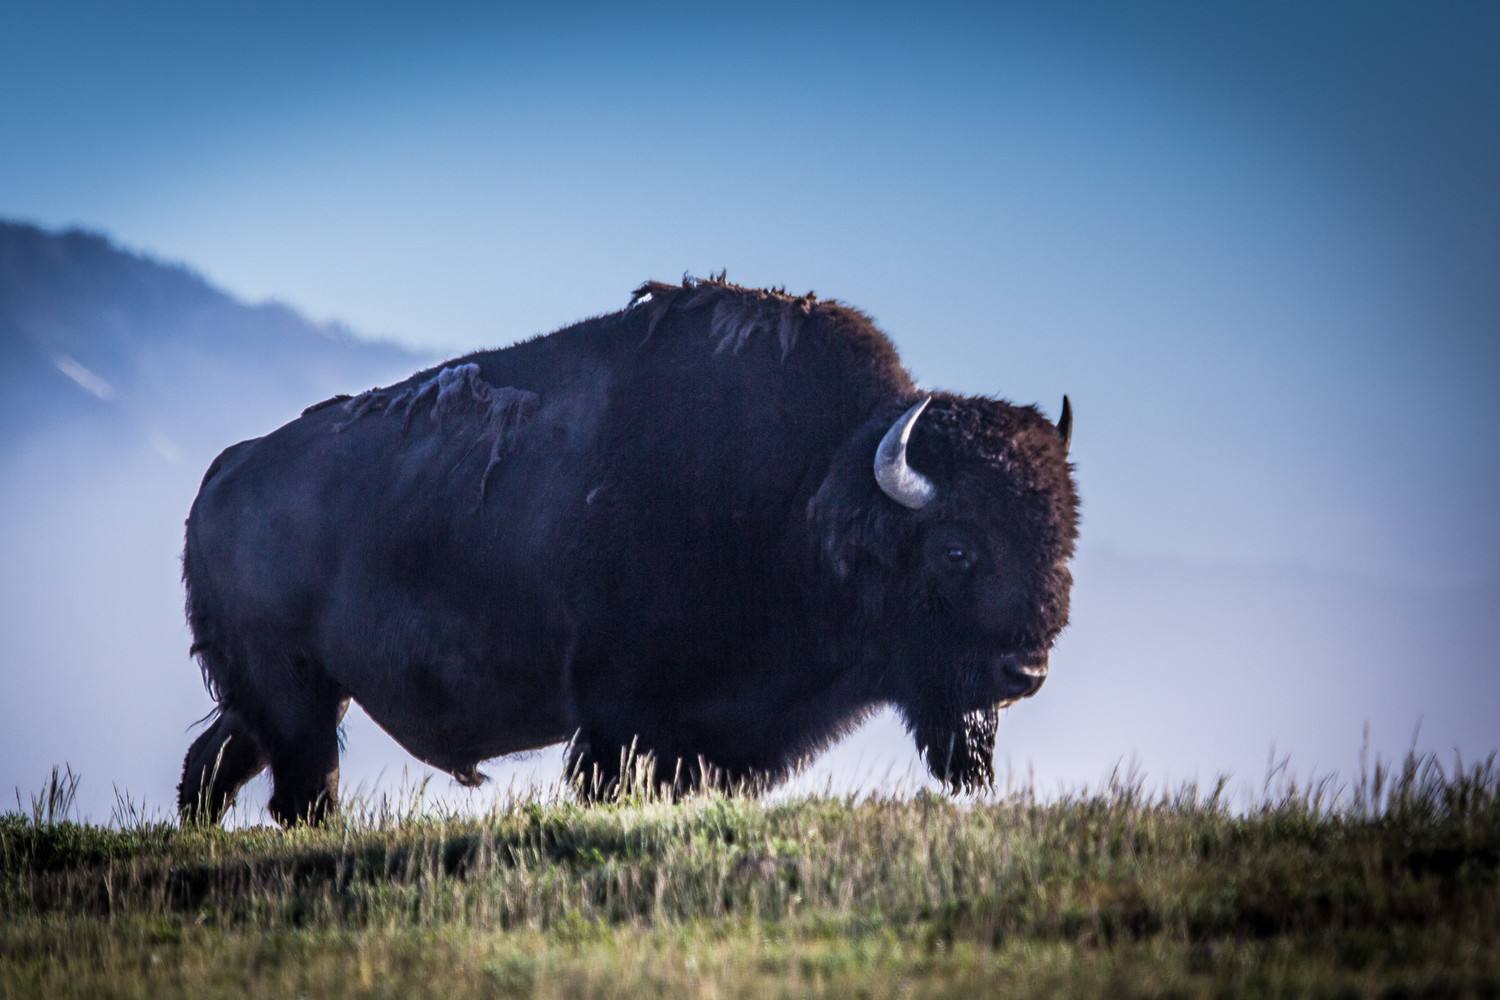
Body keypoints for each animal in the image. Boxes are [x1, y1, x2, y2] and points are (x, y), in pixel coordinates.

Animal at [178, 277, 1080, 827]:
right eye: (956, 549)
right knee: (299, 788)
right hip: (296, 695)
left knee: (219, 760)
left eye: (1061, 542)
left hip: (287, 695)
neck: (809, 488)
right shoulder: (622, 724)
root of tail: (225, 474)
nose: (1026, 672)